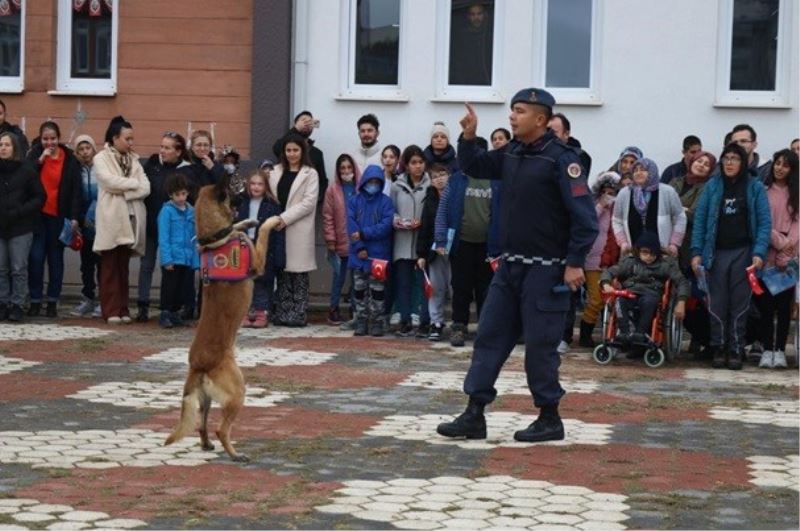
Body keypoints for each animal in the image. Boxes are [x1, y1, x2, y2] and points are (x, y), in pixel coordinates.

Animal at [162, 175, 282, 462]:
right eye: (231, 189)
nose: (246, 190)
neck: (213, 238)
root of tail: (198, 366)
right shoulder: (258, 262)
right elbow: (263, 233)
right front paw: (269, 221)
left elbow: (238, 226)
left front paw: (248, 222)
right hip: (238, 390)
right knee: (220, 428)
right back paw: (235, 454)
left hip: (206, 399)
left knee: (202, 424)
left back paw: (207, 445)